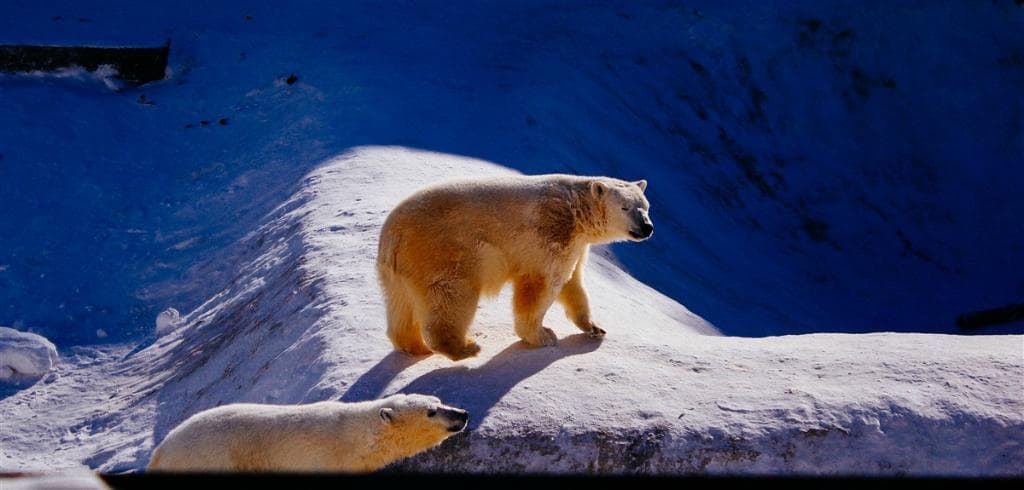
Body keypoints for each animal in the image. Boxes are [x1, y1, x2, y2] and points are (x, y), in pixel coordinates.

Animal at [377, 174, 653, 361]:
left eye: (646, 207)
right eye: (626, 207)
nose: (647, 227)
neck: (576, 210)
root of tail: (393, 235)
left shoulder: (576, 244)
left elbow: (572, 283)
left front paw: (594, 327)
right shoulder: (552, 232)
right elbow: (542, 284)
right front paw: (543, 336)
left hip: (397, 269)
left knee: (400, 303)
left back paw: (414, 346)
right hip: (444, 252)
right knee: (452, 296)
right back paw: (464, 347)